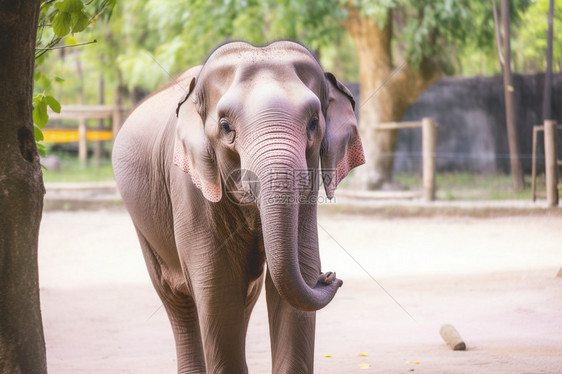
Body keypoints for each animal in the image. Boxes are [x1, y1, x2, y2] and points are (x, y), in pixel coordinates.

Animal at [111, 39, 364, 372]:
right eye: (225, 126)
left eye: (313, 123)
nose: (331, 276)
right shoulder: (190, 187)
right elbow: (216, 284)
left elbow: (297, 272)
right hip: (144, 225)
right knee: (178, 300)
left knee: (245, 293)